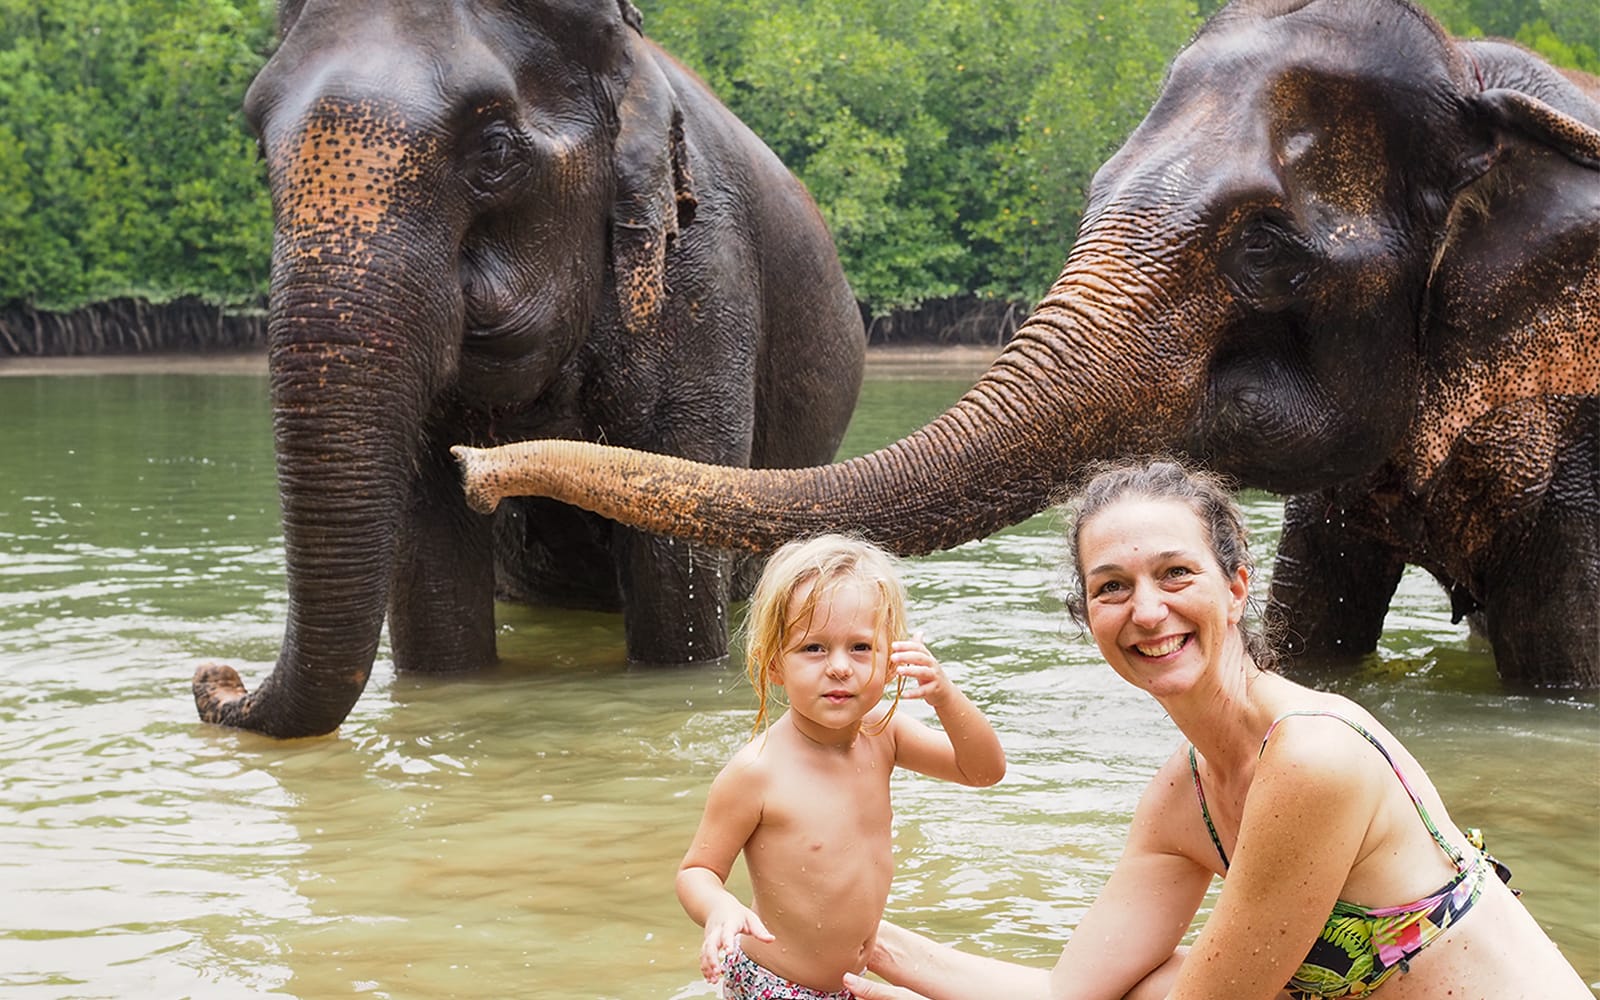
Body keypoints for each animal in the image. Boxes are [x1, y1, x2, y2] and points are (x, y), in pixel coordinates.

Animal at [189, 0, 866, 737]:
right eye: (262, 149)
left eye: (494, 149)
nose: (216, 676)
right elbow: (429, 545)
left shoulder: (705, 282)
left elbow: (673, 570)